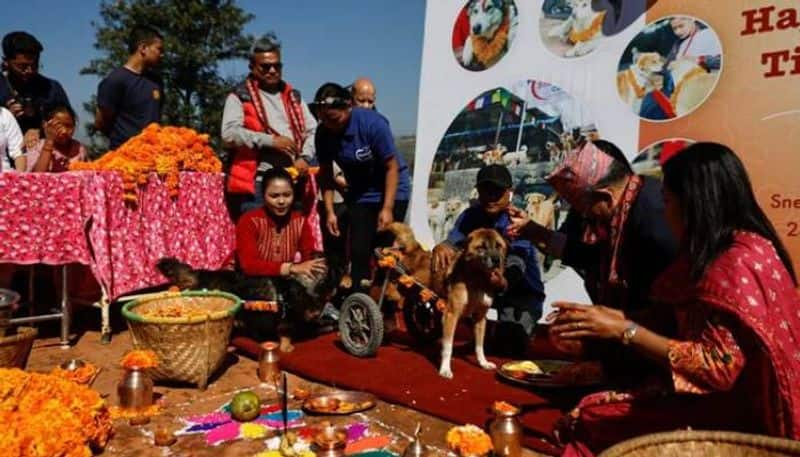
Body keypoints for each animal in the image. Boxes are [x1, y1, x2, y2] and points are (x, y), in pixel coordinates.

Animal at [438, 227, 506, 378]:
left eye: (498, 245)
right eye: (481, 247)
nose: (496, 260)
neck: (477, 279)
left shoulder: (480, 318)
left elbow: (479, 345)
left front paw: (483, 363)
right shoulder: (451, 314)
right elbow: (448, 346)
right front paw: (445, 369)